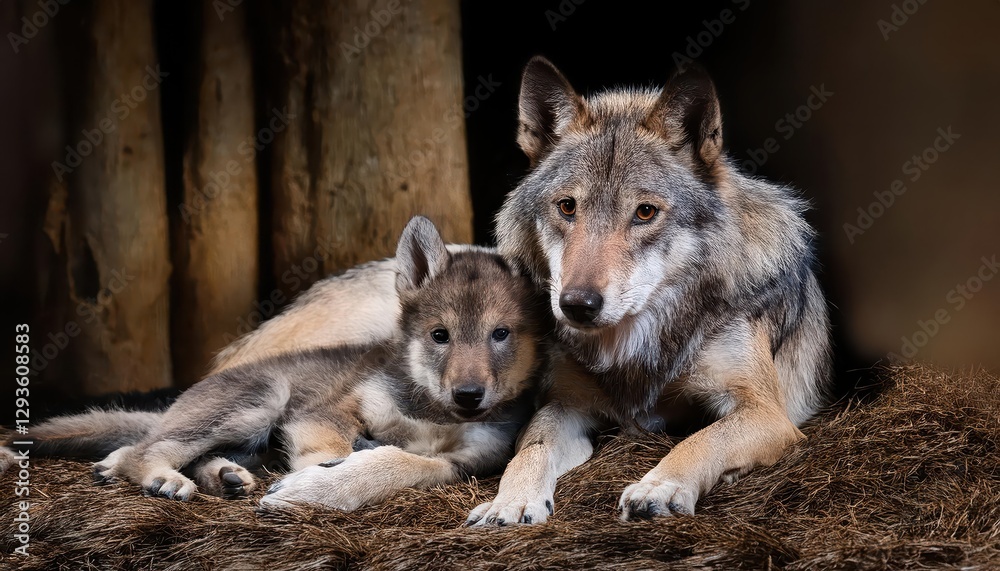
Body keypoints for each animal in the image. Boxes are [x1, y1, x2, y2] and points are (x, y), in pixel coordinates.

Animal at [4, 217, 549, 511]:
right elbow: (337, 444)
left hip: (249, 434)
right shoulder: (325, 411)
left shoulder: (466, 461)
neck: (429, 409)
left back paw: (225, 478)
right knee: (145, 450)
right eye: (440, 336)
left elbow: (406, 464)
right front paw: (327, 470)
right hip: (259, 404)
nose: (469, 396)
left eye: (501, 334)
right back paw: (163, 477)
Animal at [462, 56, 832, 525]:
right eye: (567, 206)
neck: (636, 342)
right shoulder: (564, 405)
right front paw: (509, 501)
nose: (577, 305)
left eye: (645, 212)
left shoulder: (766, 413)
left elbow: (700, 440)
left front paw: (660, 486)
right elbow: (530, 450)